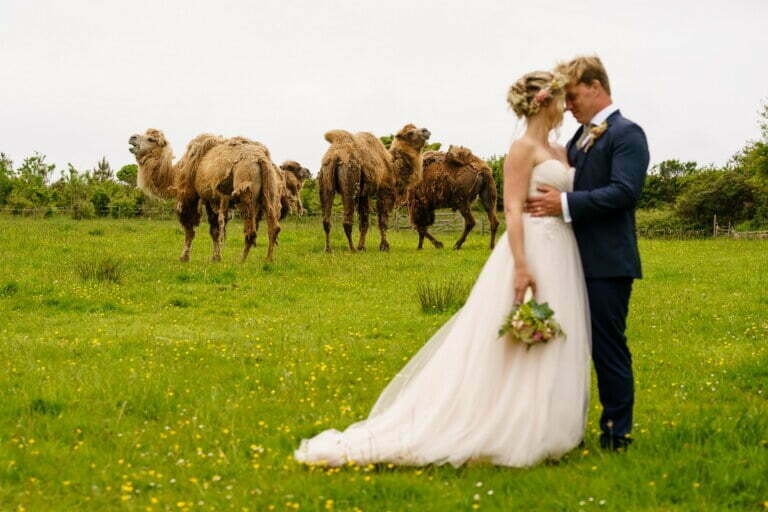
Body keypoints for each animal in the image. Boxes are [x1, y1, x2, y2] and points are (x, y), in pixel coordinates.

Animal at [128, 129, 282, 263]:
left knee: (251, 231)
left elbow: (190, 229)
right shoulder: (211, 199)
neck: (177, 173)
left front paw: (184, 257)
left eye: (151, 139)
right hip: (271, 190)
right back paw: (268, 260)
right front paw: (216, 257)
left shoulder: (190, 196)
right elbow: (215, 230)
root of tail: (260, 159)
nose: (132, 137)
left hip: (245, 187)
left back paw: (241, 260)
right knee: (273, 226)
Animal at [319, 123, 431, 252]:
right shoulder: (386, 191)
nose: (426, 131)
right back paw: (352, 249)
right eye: (410, 133)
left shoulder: (363, 194)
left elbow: (364, 221)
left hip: (325, 177)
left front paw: (362, 247)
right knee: (346, 220)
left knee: (326, 220)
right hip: (350, 178)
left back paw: (328, 249)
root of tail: (336, 155)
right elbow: (383, 221)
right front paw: (384, 246)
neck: (393, 167)